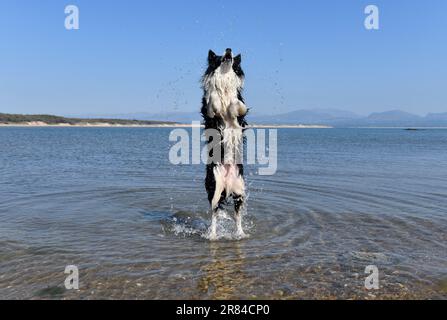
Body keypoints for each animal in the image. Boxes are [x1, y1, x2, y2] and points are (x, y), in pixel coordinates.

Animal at [202, 48, 250, 240]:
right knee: (214, 213)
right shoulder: (207, 110)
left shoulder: (241, 108)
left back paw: (240, 233)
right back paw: (213, 236)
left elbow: (237, 104)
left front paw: (230, 106)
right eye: (218, 56)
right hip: (214, 187)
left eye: (232, 54)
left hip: (240, 189)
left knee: (238, 215)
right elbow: (213, 99)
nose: (228, 49)